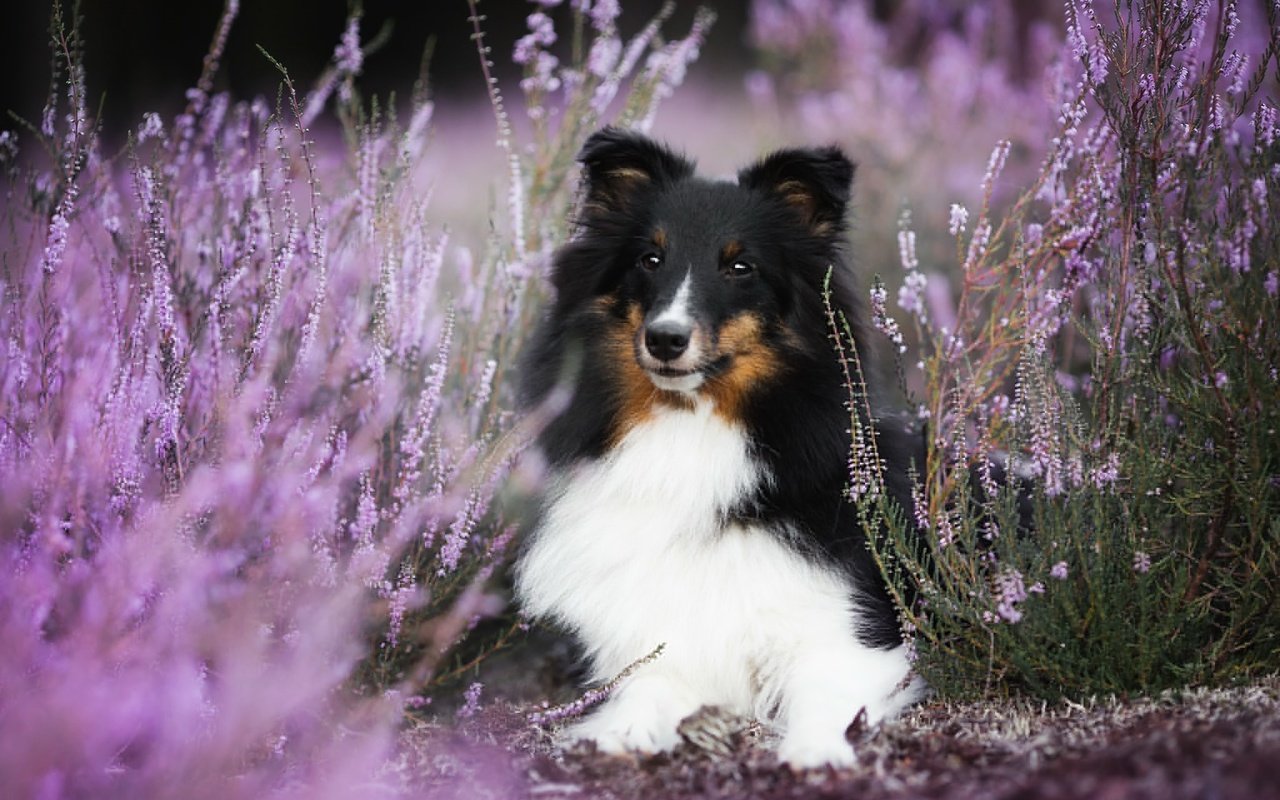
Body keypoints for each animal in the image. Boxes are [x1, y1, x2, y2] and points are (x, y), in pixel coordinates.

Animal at [514, 128, 926, 762]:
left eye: (740, 266)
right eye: (650, 258)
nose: (665, 339)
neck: (691, 426)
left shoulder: (847, 636)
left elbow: (825, 696)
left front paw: (814, 754)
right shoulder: (660, 645)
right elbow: (645, 692)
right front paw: (617, 735)